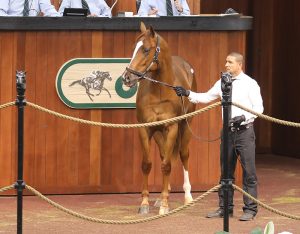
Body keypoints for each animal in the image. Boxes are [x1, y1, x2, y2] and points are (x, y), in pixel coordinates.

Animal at [122, 22, 197, 215]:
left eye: (146, 50)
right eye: (133, 49)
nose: (126, 77)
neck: (160, 92)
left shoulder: (172, 128)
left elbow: (166, 166)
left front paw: (164, 204)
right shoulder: (145, 128)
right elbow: (148, 164)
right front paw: (145, 203)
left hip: (185, 126)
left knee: (183, 155)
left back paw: (188, 196)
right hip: (158, 133)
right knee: (165, 154)